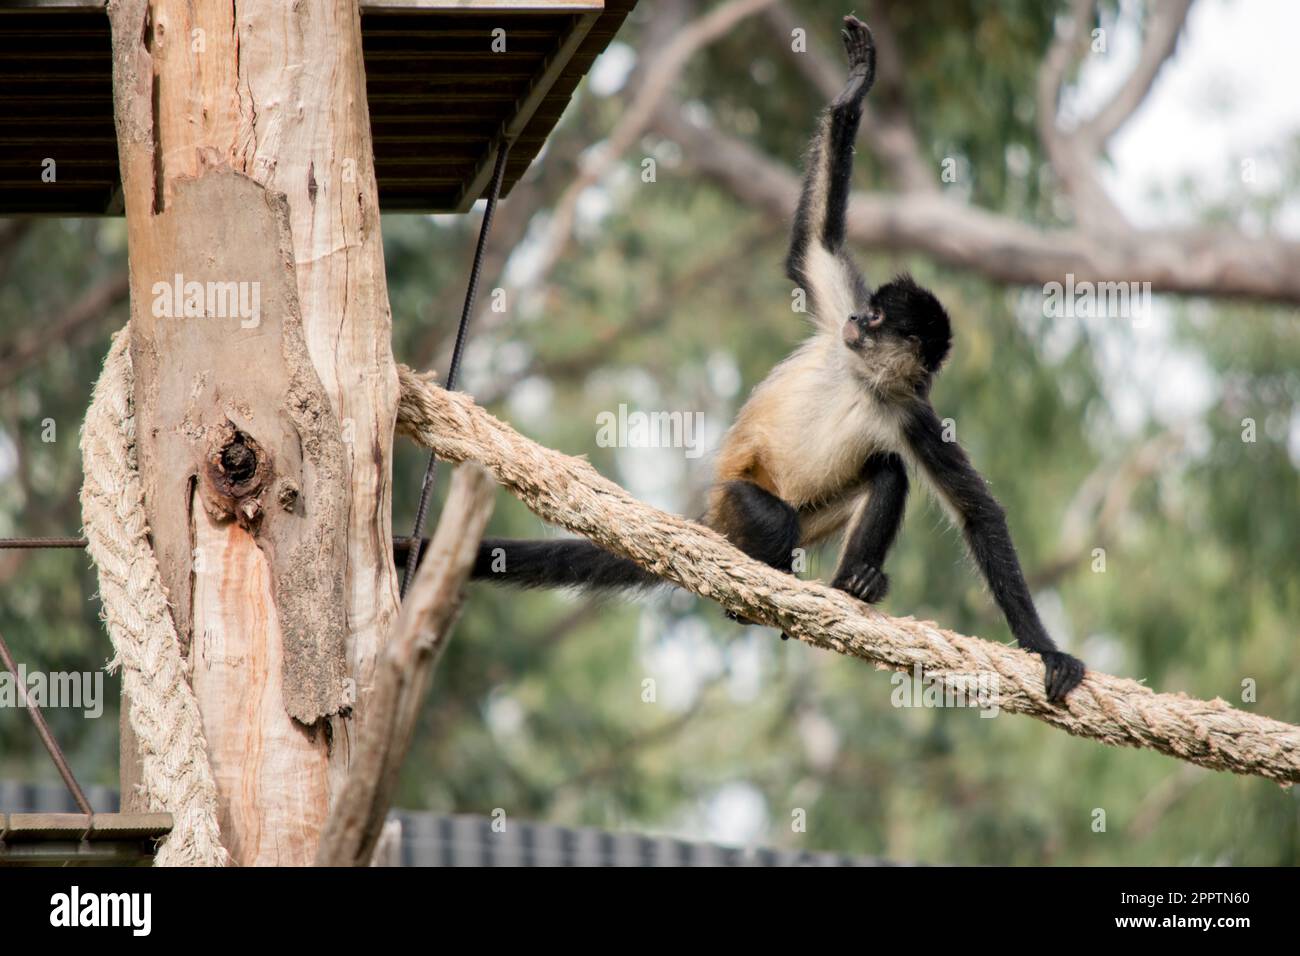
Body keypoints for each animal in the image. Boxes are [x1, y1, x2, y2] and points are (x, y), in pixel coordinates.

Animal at [449, 15, 1085, 703]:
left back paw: (853, 586)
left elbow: (973, 509)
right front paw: (855, 87)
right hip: (738, 501)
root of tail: (712, 518)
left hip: (809, 520)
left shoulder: (911, 411)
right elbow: (814, 246)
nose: (859, 322)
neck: (862, 377)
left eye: (880, 320)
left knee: (886, 471)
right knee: (779, 518)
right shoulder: (836, 327)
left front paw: (1046, 648)